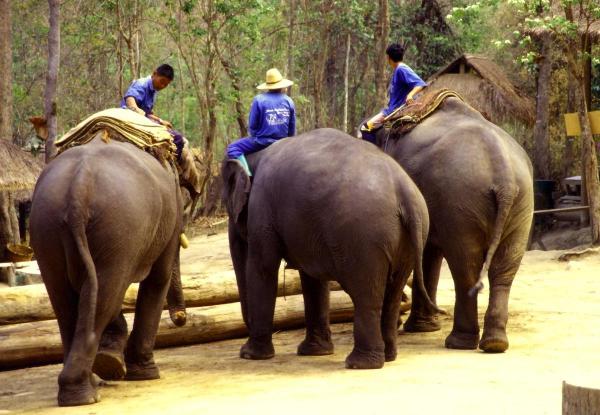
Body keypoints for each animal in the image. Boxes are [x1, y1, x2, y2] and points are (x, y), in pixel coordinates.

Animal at [29, 132, 190, 408]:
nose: (181, 319)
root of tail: (78, 186)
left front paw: (113, 361)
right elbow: (158, 278)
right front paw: (145, 374)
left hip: (46, 226)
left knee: (71, 300)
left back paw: (83, 387)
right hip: (121, 225)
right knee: (106, 292)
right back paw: (88, 391)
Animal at [220, 128, 436, 368]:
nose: (244, 342)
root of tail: (405, 194)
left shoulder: (262, 207)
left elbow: (263, 267)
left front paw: (250, 355)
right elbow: (312, 279)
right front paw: (314, 352)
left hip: (363, 238)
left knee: (366, 294)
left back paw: (359, 364)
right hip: (409, 238)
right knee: (393, 293)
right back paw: (388, 357)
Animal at [370, 95, 536, 354]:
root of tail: (505, 176)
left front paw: (418, 327)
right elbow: (429, 253)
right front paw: (423, 327)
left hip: (460, 200)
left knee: (465, 266)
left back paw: (459, 342)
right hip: (520, 203)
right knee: (504, 268)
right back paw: (495, 343)